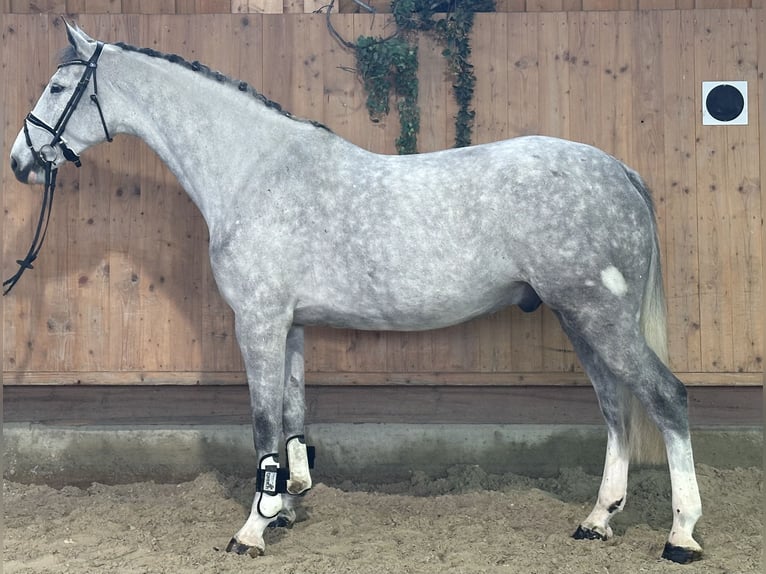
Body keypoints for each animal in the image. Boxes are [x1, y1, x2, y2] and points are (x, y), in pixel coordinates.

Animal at [9, 22, 703, 563]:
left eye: (58, 87)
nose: (20, 161)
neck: (255, 171)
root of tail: (618, 170)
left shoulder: (258, 321)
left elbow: (263, 424)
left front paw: (251, 530)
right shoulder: (289, 324)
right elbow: (291, 417)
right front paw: (285, 508)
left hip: (598, 313)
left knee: (664, 398)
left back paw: (681, 536)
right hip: (579, 317)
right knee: (615, 405)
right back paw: (597, 521)